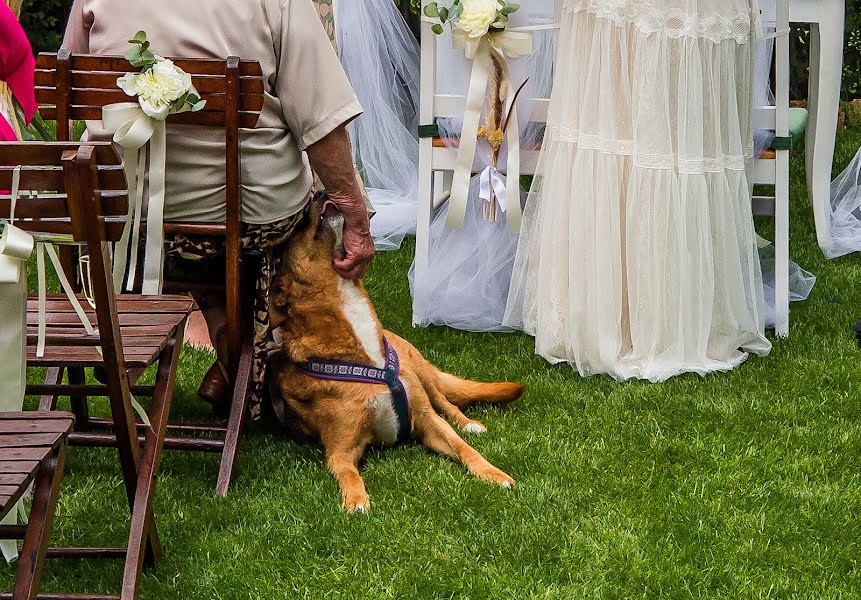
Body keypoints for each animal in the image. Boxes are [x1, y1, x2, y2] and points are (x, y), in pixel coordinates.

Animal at [270, 195, 524, 512]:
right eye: (299, 228)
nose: (318, 194)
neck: (367, 358)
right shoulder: (341, 448)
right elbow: (347, 472)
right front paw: (356, 499)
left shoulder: (427, 419)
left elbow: (463, 447)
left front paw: (493, 473)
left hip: (420, 372)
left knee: (446, 403)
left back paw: (469, 424)